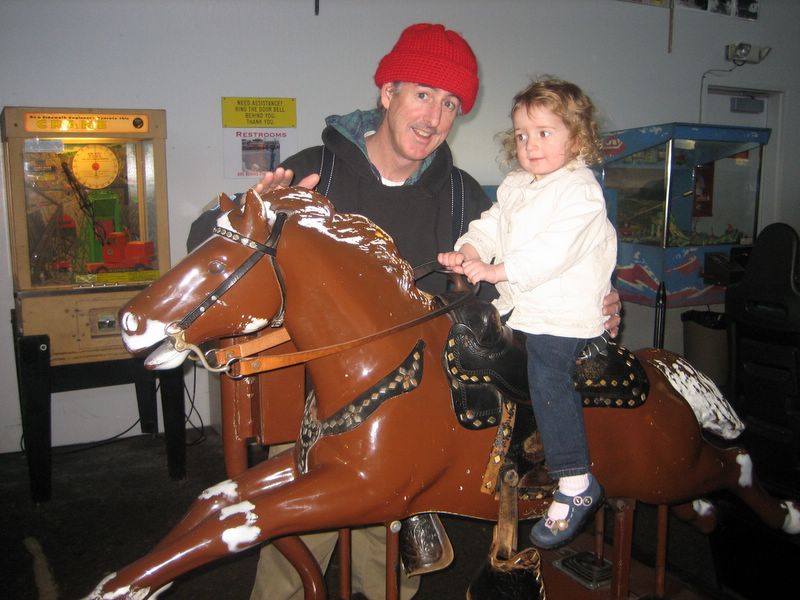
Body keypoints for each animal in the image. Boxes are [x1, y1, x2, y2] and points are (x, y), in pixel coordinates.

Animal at [85, 187, 800, 599]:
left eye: (216, 261)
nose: (128, 322)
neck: (379, 362)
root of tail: (656, 370)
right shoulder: (315, 468)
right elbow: (217, 502)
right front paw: (128, 583)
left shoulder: (363, 492)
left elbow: (240, 525)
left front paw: (120, 588)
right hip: (657, 473)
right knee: (708, 479)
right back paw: (704, 515)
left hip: (666, 466)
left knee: (736, 461)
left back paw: (784, 515)